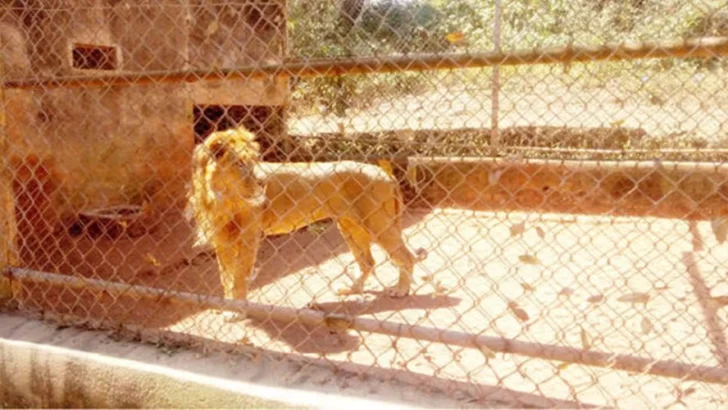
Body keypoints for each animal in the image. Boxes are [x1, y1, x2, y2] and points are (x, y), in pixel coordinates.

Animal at [188, 128, 426, 320]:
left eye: (255, 161)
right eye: (239, 163)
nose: (262, 184)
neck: (220, 198)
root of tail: (386, 174)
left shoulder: (249, 237)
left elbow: (238, 277)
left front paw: (237, 311)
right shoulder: (222, 240)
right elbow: (225, 277)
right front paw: (227, 306)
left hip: (378, 224)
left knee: (405, 256)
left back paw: (401, 290)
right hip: (350, 226)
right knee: (368, 261)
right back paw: (352, 289)